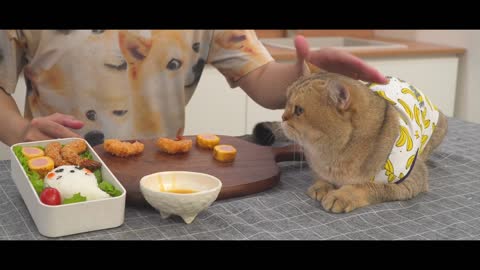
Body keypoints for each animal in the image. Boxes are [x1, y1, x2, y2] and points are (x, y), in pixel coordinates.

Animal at [255, 67, 446, 213]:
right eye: (286, 101)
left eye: (299, 110)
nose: (282, 117)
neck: (332, 154)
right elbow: (321, 176)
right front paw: (321, 185)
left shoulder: (411, 180)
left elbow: (368, 187)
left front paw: (342, 196)